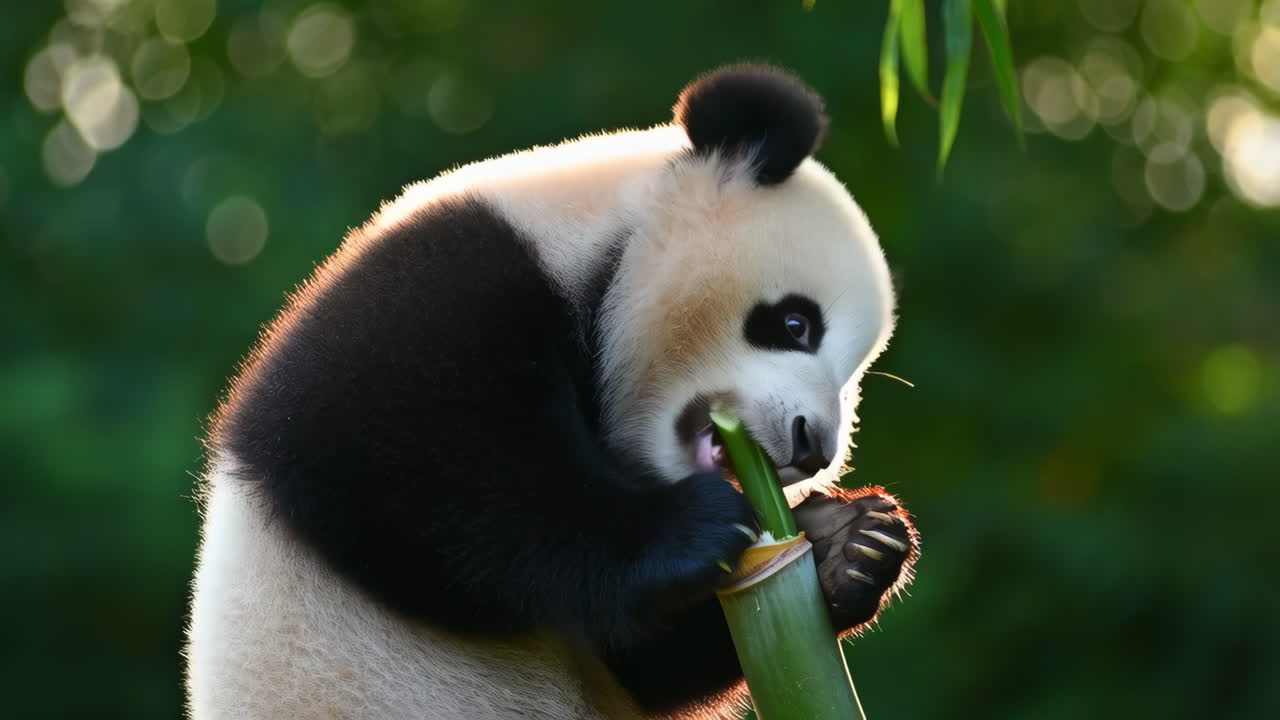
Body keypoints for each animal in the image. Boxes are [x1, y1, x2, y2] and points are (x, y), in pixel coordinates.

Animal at [186, 64, 919, 720]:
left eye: (852, 375)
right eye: (796, 324)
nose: (813, 448)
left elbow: (643, 657)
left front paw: (851, 541)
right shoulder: (453, 275)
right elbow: (389, 453)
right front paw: (690, 528)